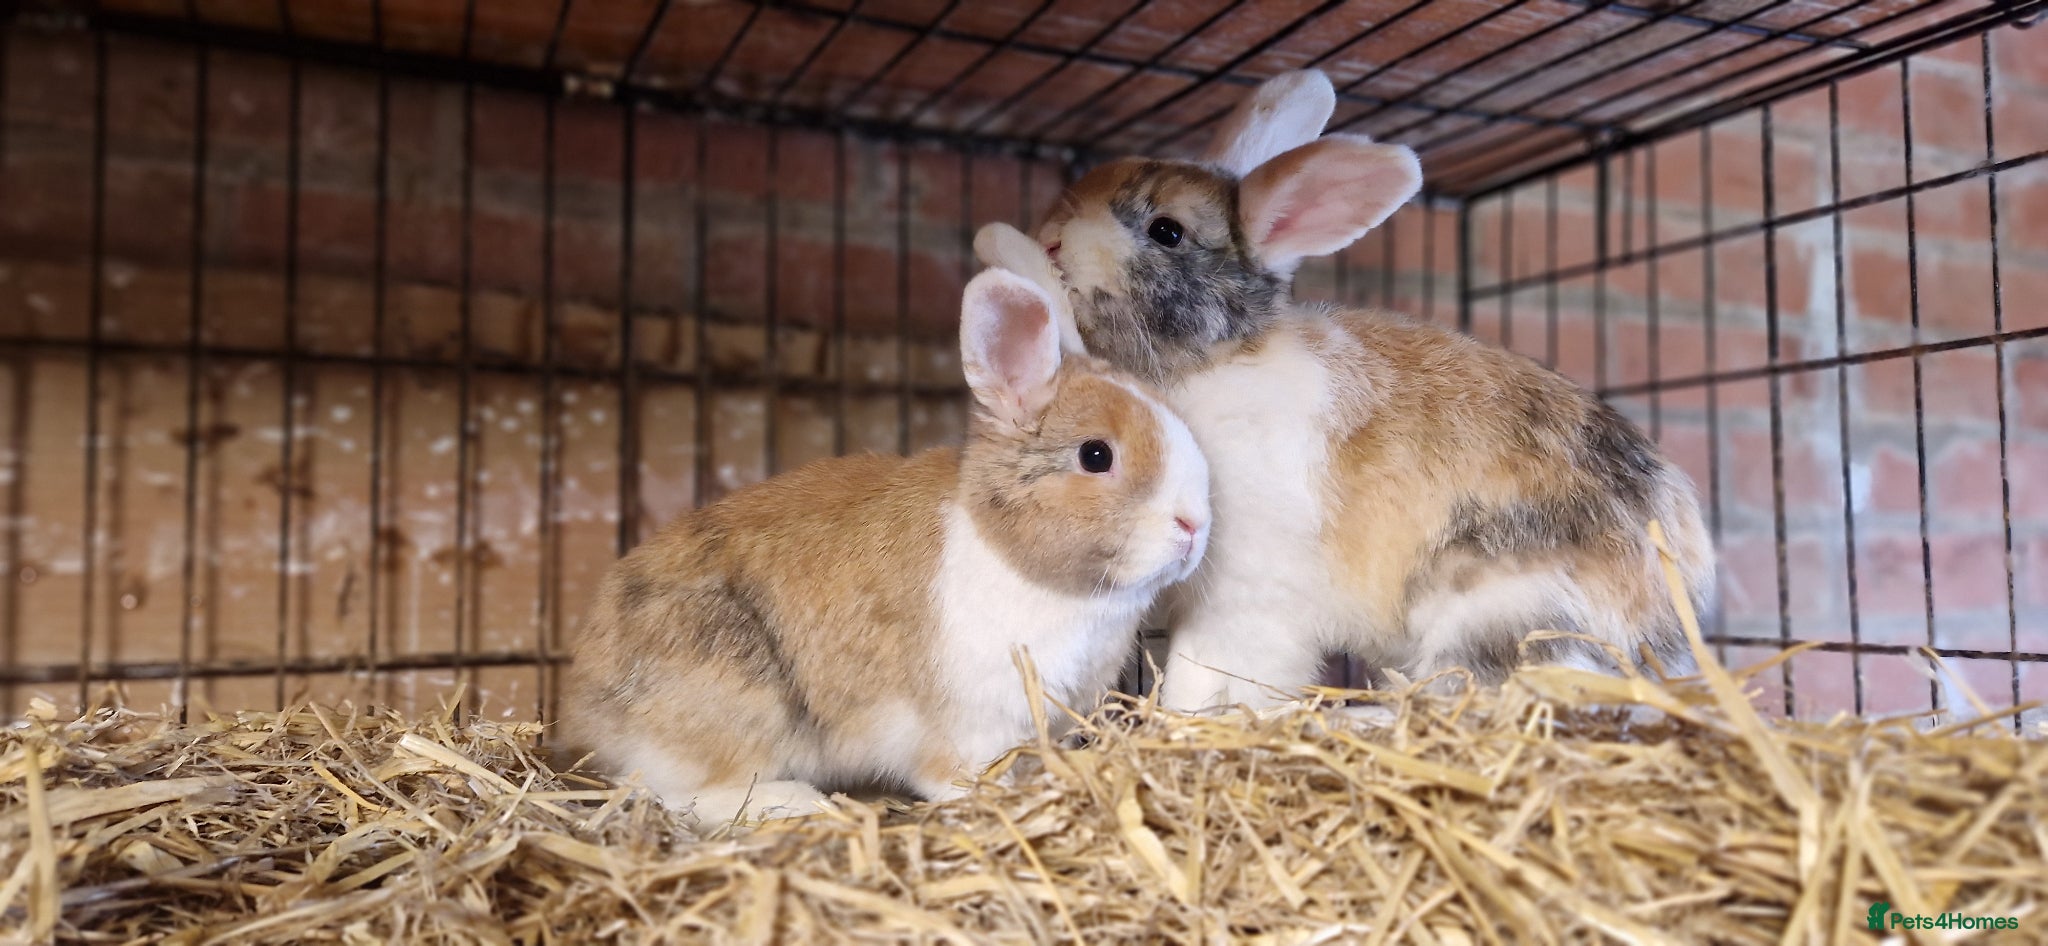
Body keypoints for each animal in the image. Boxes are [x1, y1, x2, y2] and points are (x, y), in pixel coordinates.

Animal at [554, 266, 1212, 828]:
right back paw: (797, 804)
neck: (1010, 555)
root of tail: (586, 705)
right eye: (1095, 455)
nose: (1195, 526)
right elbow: (957, 775)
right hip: (737, 703)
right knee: (679, 791)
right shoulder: (969, 727)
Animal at [977, 69, 1715, 713]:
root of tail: (1669, 635)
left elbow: (1213, 667)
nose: (1050, 241)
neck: (1211, 363)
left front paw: (1193, 720)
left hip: (1506, 612)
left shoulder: (1248, 593)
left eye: (1167, 231)